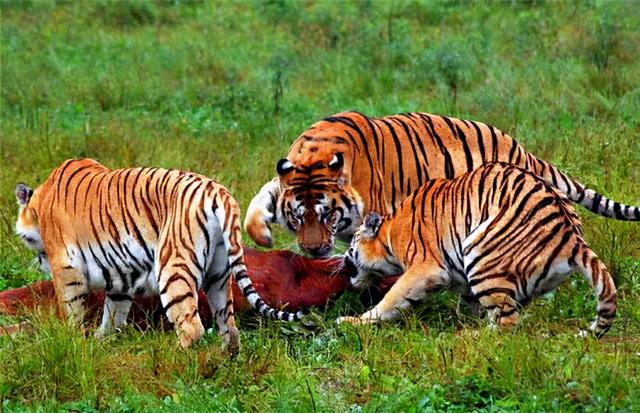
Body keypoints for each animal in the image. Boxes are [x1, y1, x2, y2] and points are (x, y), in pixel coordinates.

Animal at [14, 158, 304, 350]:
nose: (38, 262)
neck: (40, 203)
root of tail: (218, 192)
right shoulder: (121, 275)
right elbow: (113, 313)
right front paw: (102, 340)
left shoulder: (66, 267)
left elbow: (71, 308)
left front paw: (73, 339)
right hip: (219, 276)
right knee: (230, 328)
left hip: (172, 269)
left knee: (192, 327)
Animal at [245, 111, 640, 256]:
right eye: (298, 218)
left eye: (328, 216)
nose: (313, 251)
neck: (316, 152)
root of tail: (518, 146)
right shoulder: (283, 180)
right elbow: (257, 201)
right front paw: (262, 236)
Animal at [338, 161, 616, 334]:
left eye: (350, 248)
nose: (343, 263)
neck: (390, 231)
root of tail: (572, 236)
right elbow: (466, 303)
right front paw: (465, 318)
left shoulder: (424, 269)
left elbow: (390, 300)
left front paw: (353, 322)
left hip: (479, 254)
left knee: (507, 324)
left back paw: (471, 337)